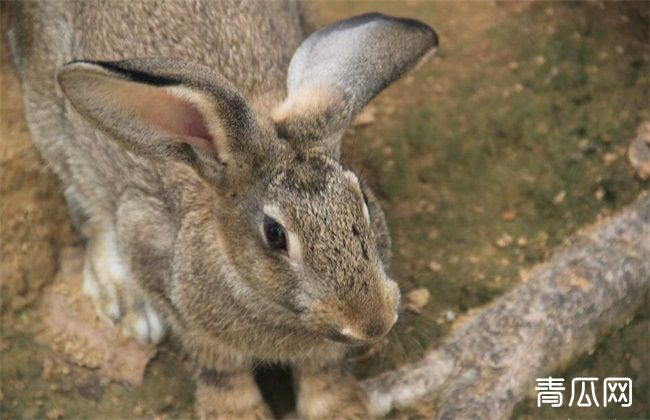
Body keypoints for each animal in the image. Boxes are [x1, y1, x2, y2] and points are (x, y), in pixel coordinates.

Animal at [8, 1, 436, 418]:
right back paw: (126, 303)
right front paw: (235, 412)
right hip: (55, 126)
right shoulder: (169, 284)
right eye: (275, 235)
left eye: (362, 200)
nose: (374, 324)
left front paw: (342, 409)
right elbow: (222, 370)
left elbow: (322, 370)